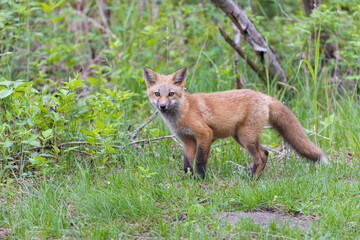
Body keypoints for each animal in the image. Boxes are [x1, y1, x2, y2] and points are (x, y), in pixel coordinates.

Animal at [142, 65, 328, 178]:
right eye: (157, 94)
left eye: (171, 94)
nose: (163, 106)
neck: (182, 112)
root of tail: (263, 96)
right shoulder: (187, 141)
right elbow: (187, 164)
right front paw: (188, 179)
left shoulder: (204, 134)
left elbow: (200, 161)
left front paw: (200, 179)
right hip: (240, 137)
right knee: (265, 153)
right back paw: (255, 177)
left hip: (246, 137)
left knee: (260, 156)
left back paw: (251, 180)